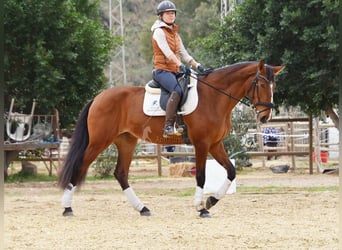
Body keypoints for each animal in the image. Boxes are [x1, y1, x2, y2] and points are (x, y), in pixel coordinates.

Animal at [59, 60, 286, 217]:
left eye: (274, 86)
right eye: (262, 85)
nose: (265, 117)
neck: (214, 97)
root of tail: (99, 97)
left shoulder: (215, 144)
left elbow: (231, 171)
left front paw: (211, 201)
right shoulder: (202, 144)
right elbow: (201, 175)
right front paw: (201, 207)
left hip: (126, 142)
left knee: (121, 173)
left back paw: (142, 208)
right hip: (99, 142)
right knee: (80, 166)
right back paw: (67, 207)